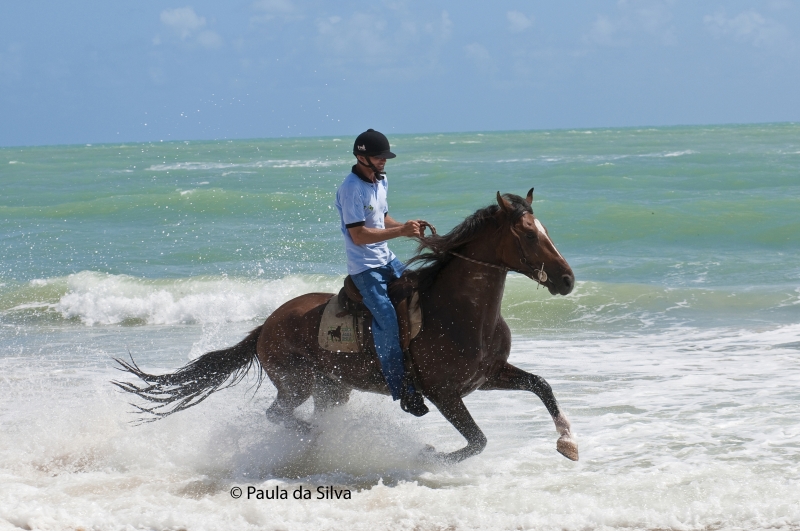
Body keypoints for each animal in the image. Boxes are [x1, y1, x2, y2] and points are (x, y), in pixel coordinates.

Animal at [112, 189, 580, 464]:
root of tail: (265, 325)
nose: (567, 280)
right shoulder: (443, 393)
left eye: (544, 229)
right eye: (529, 235)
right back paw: (314, 439)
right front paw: (427, 453)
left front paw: (568, 442)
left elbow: (541, 385)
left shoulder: (489, 375)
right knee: (277, 415)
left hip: (332, 390)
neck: (458, 314)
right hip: (297, 384)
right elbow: (477, 441)